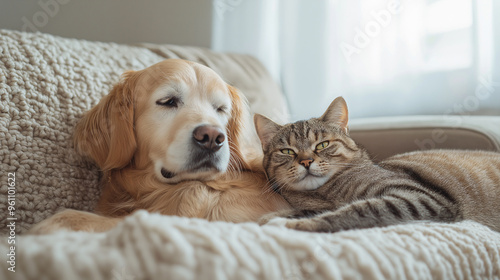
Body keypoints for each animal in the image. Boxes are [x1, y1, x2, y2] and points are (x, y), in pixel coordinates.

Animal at [254, 96, 500, 232]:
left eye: (322, 145)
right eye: (287, 151)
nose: (306, 161)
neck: (325, 194)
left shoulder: (420, 198)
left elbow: (360, 209)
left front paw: (300, 225)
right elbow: (304, 211)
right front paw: (271, 218)